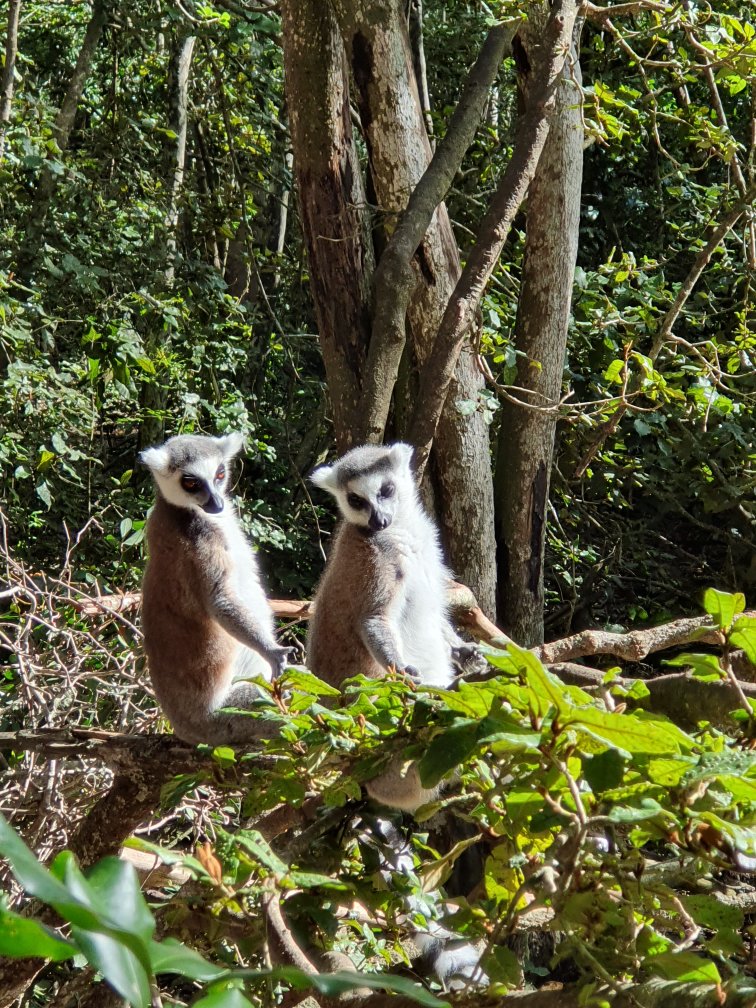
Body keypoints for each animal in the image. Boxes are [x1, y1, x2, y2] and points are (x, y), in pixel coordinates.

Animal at [139, 432, 291, 746]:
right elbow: (220, 600)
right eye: (191, 482)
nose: (217, 503)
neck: (182, 510)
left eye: (220, 474)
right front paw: (272, 651)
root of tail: (184, 729)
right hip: (225, 719)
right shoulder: (199, 543)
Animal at [307, 442, 465, 811]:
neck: (399, 532)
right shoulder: (374, 561)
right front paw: (403, 670)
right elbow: (373, 619)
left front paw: (465, 649)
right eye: (356, 500)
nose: (378, 519)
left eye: (386, 490)